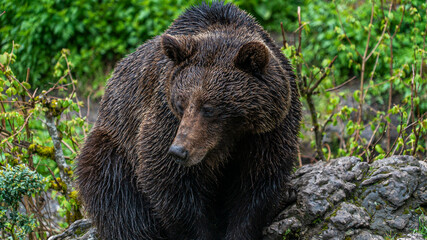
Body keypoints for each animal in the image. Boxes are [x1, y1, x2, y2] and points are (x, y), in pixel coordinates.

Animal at [77, 1, 302, 238]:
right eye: (180, 104)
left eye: (209, 108)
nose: (179, 151)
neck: (230, 136)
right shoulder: (165, 116)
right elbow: (171, 184)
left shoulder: (268, 131)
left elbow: (256, 184)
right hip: (114, 145)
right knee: (118, 198)